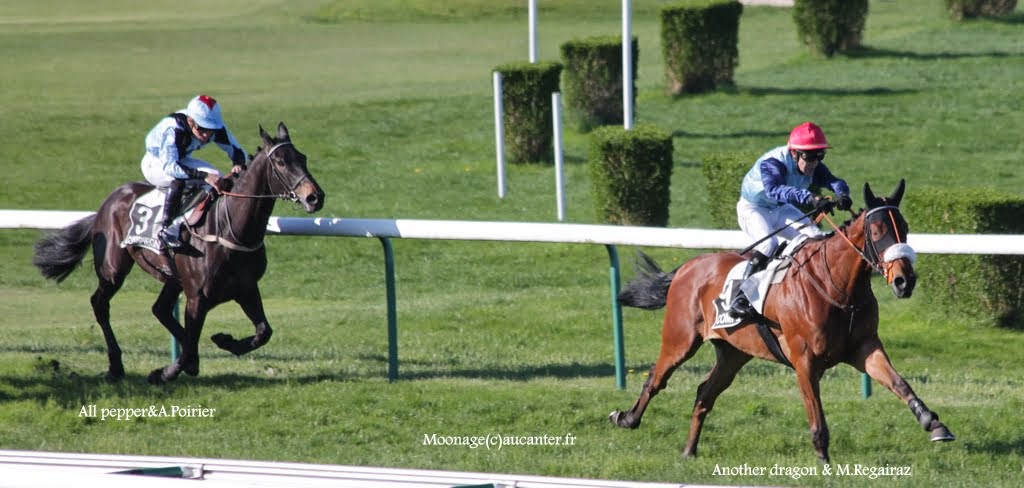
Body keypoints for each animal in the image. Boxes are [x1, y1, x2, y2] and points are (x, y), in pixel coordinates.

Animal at [34, 121, 323, 384]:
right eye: (281, 162)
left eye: (303, 157)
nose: (315, 197)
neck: (227, 227)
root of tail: (108, 202)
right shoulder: (197, 297)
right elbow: (192, 343)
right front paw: (165, 372)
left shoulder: (246, 288)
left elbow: (264, 332)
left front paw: (225, 341)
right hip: (113, 268)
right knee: (100, 304)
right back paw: (116, 366)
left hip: (172, 277)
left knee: (159, 309)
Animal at [606, 181, 950, 462]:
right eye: (877, 231)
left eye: (904, 227)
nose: (905, 281)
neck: (838, 287)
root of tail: (686, 267)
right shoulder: (804, 360)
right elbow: (816, 416)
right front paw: (824, 463)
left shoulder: (864, 347)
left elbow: (899, 383)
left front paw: (934, 423)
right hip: (680, 340)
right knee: (655, 379)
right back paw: (626, 418)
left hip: (733, 353)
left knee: (705, 393)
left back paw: (689, 450)